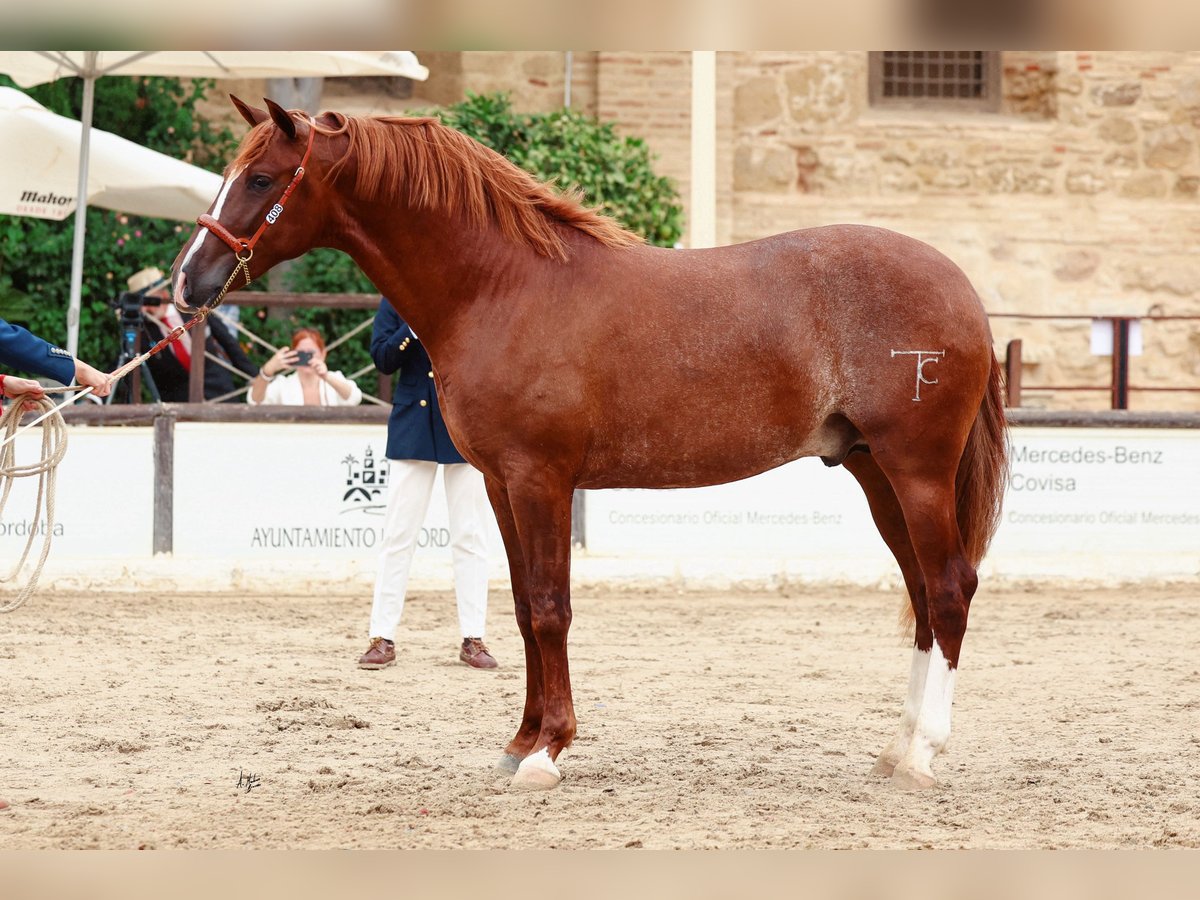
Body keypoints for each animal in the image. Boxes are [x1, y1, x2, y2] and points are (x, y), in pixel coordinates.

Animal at [174, 95, 1008, 792]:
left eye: (261, 178)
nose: (186, 286)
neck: (502, 287)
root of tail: (961, 290)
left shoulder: (541, 479)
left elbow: (550, 608)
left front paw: (548, 752)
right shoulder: (501, 484)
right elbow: (519, 609)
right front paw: (519, 741)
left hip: (917, 471)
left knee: (948, 589)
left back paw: (924, 754)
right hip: (875, 474)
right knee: (922, 597)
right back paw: (896, 749)